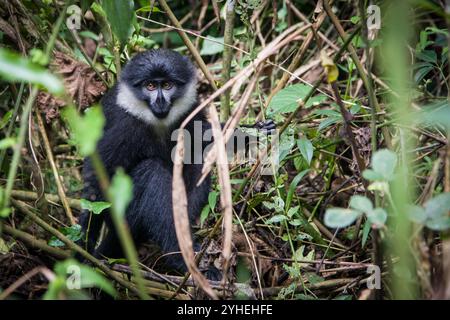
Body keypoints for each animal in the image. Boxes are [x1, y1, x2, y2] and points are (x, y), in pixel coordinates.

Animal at [77, 48, 274, 276]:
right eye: (150, 86)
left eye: (167, 85)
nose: (160, 101)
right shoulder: (125, 126)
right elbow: (96, 179)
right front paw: (83, 244)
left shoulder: (190, 110)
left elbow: (204, 137)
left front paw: (253, 131)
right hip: (122, 217)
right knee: (151, 171)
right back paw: (182, 256)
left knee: (197, 161)